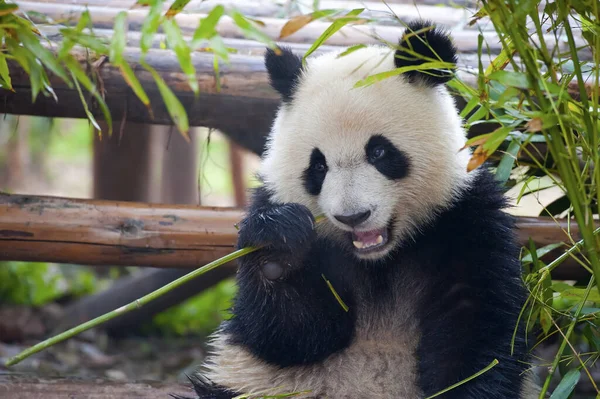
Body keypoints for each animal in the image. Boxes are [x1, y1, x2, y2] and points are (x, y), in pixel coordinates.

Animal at [175, 20, 540, 399]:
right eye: (318, 166)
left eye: (379, 152)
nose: (353, 217)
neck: (379, 261)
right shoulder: (276, 204)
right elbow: (290, 337)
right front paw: (277, 248)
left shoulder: (464, 219)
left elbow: (476, 330)